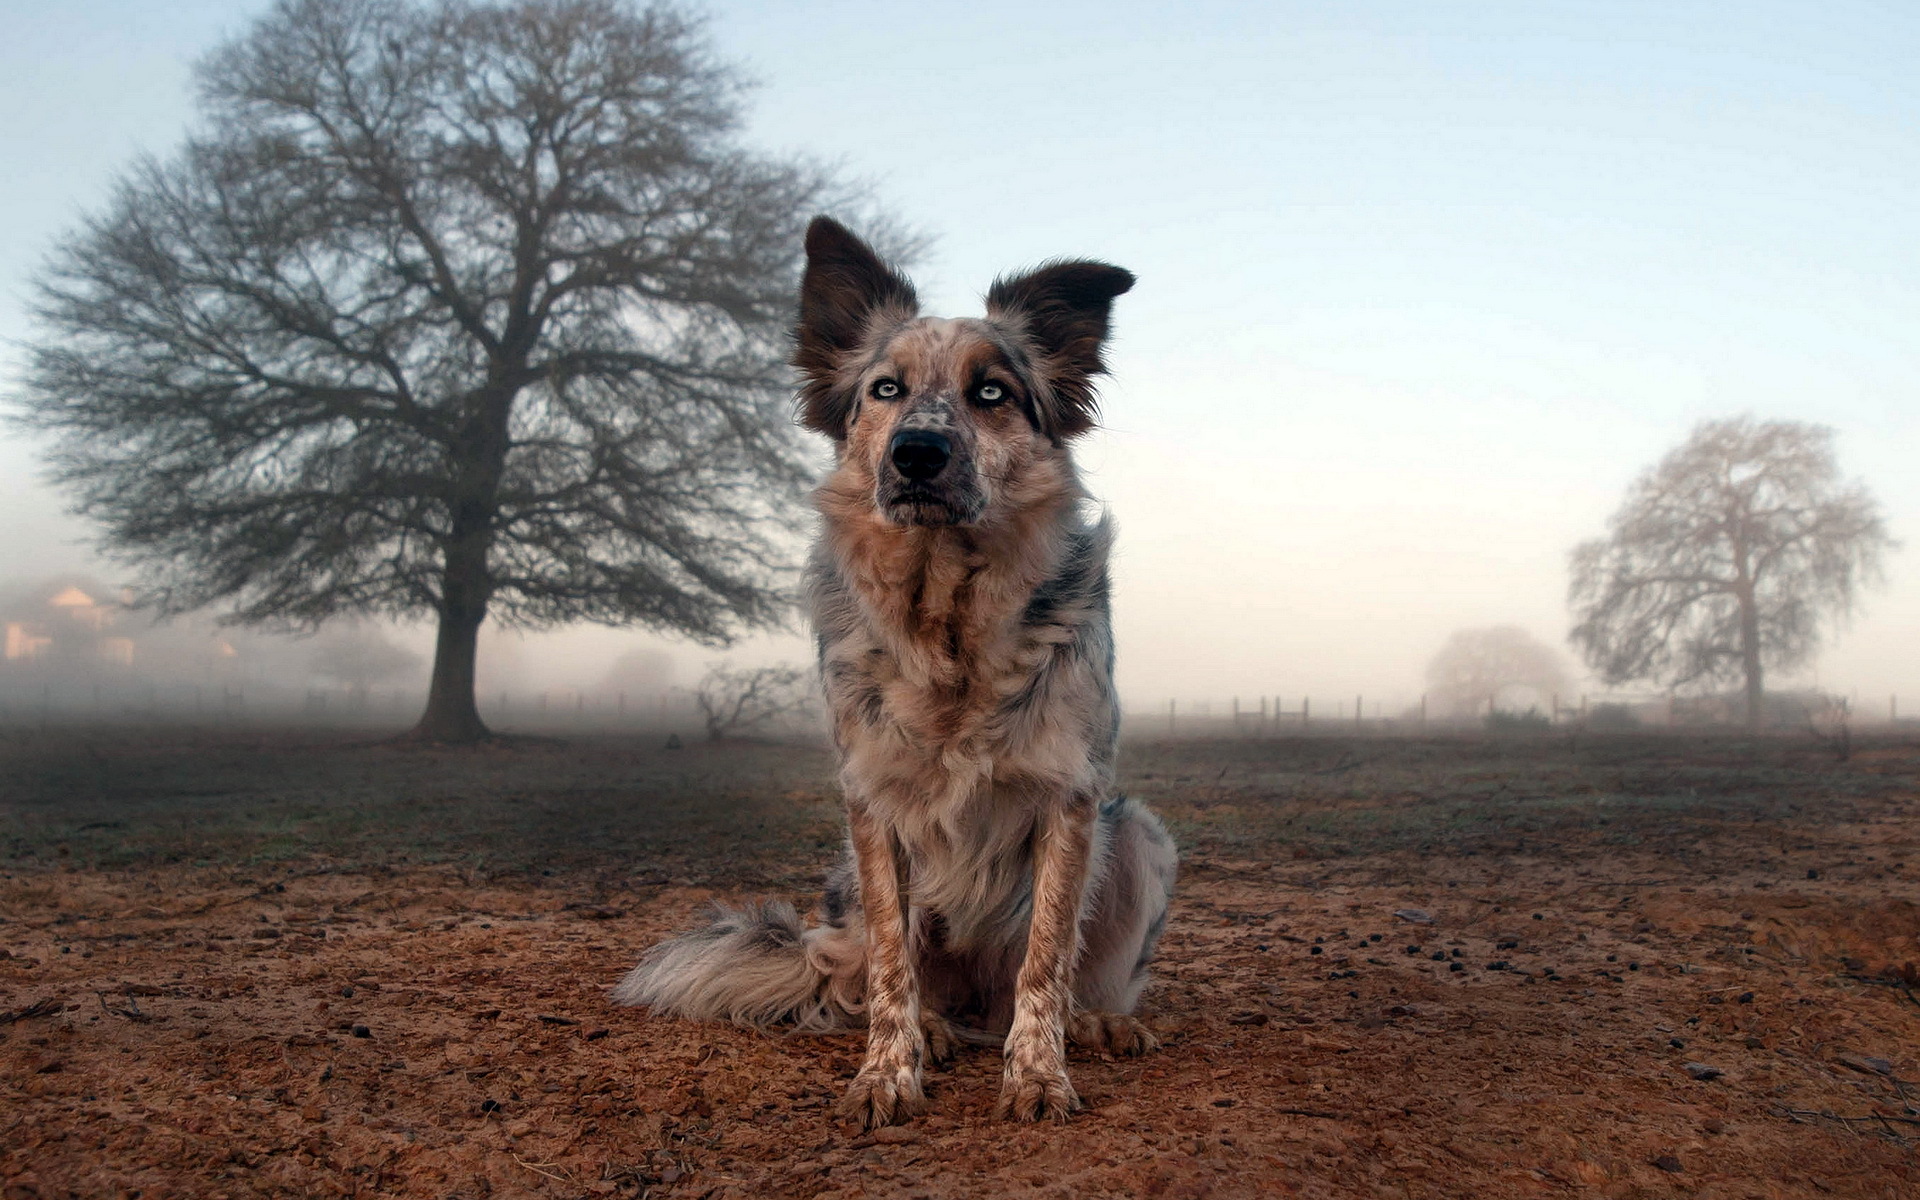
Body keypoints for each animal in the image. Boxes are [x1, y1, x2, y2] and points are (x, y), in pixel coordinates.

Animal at [622, 215, 1175, 1121]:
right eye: (885, 389)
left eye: (992, 393)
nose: (918, 452)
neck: (947, 616)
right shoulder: (873, 807)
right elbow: (888, 965)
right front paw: (888, 1072)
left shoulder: (1070, 798)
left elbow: (1046, 960)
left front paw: (1038, 1073)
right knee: (877, 976)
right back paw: (936, 1032)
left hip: (1136, 835)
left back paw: (1091, 1021)